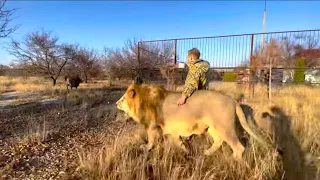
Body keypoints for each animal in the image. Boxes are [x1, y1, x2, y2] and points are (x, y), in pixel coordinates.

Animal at [115, 82, 270, 159]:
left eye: (123, 99)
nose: (116, 103)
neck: (142, 101)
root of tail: (233, 100)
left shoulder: (152, 127)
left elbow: (151, 141)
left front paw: (145, 148)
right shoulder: (172, 130)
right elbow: (177, 141)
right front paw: (185, 150)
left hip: (225, 127)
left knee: (239, 147)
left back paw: (233, 160)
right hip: (213, 127)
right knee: (218, 141)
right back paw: (207, 153)